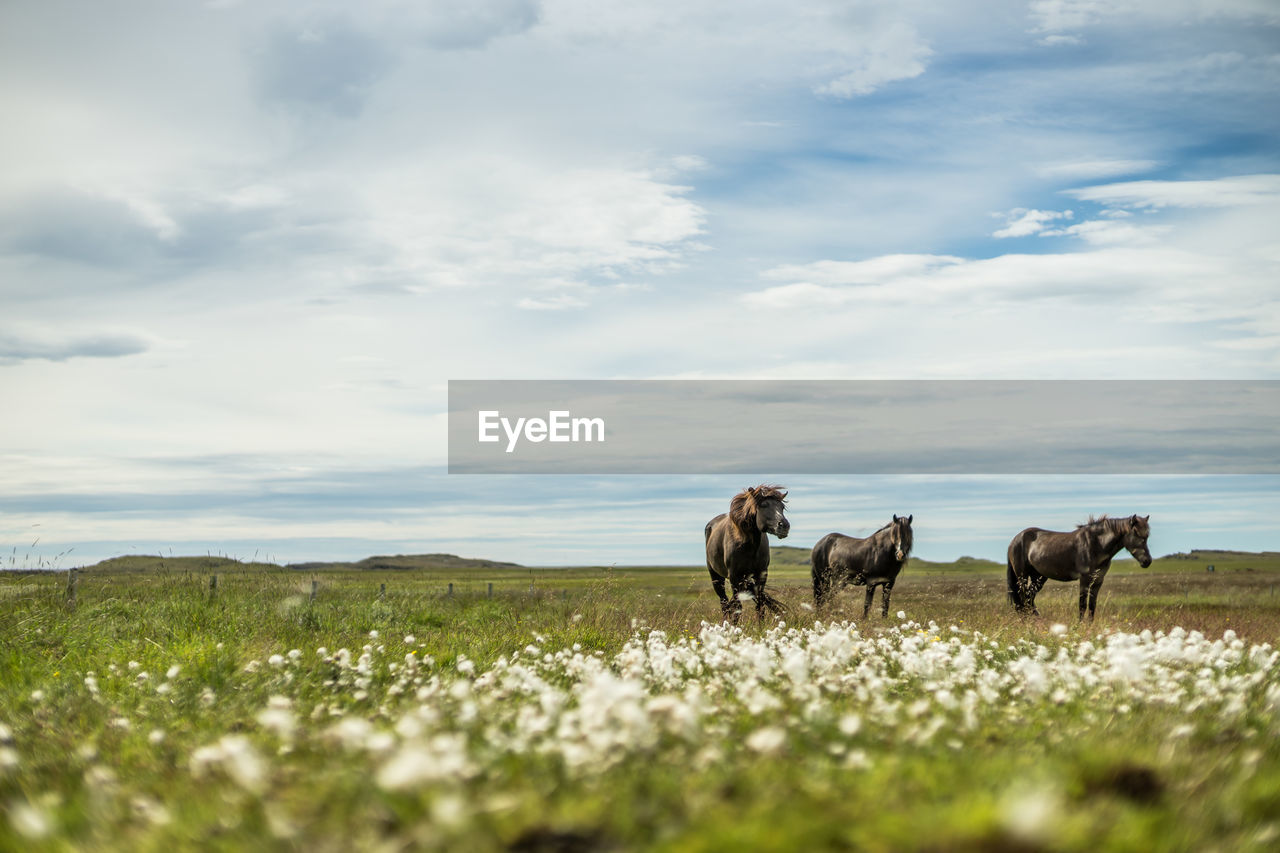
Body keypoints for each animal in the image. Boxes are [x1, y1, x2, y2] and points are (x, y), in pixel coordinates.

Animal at [706, 484, 783, 617]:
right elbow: (737, 607)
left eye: (782, 507)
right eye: (763, 505)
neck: (749, 545)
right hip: (716, 577)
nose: (784, 525)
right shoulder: (734, 576)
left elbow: (760, 606)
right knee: (724, 603)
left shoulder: (761, 574)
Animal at [1003, 512, 1157, 617]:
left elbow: (1092, 606)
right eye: (1136, 533)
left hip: (1039, 577)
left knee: (1029, 599)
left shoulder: (1098, 581)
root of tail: (1015, 539)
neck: (1096, 545)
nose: (1147, 561)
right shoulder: (1084, 580)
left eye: (1147, 536)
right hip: (1022, 576)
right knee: (1023, 599)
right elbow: (1082, 605)